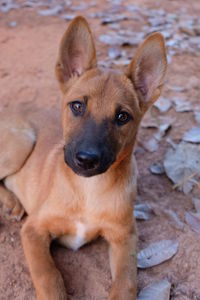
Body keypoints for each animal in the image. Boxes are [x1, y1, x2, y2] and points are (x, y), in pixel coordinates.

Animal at [0, 15, 167, 300]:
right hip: (20, 144)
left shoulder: (125, 237)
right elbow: (48, 276)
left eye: (123, 117)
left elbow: (126, 283)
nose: (87, 159)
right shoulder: (34, 230)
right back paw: (11, 202)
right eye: (77, 106)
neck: (88, 189)